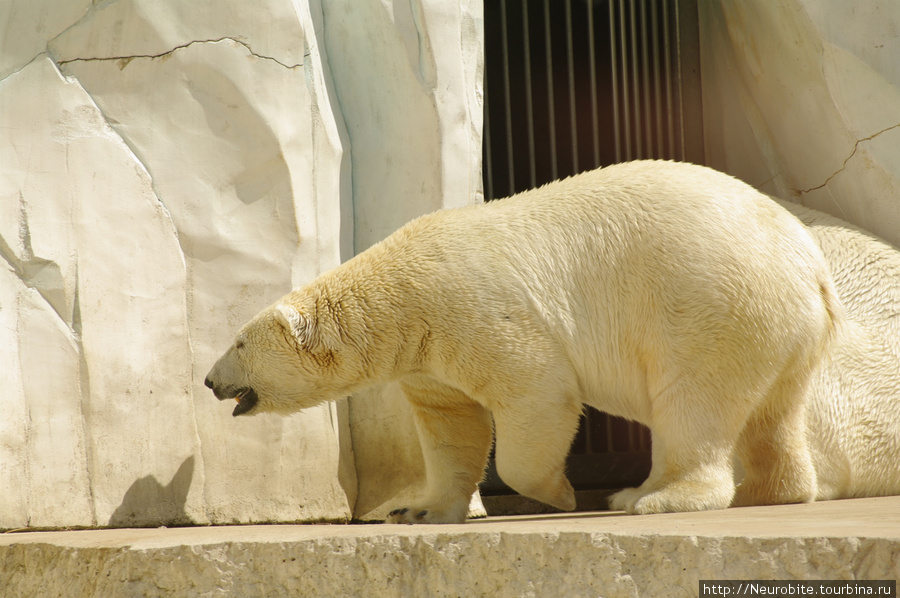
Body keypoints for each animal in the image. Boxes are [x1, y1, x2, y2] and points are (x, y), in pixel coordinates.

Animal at [206, 161, 892, 524]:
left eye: (238, 342)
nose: (210, 380)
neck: (400, 293)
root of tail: (808, 263)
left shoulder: (471, 307)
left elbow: (536, 394)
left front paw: (557, 494)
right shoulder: (427, 356)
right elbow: (451, 425)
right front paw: (420, 509)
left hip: (710, 304)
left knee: (693, 402)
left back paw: (647, 496)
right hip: (786, 330)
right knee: (774, 410)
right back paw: (770, 490)